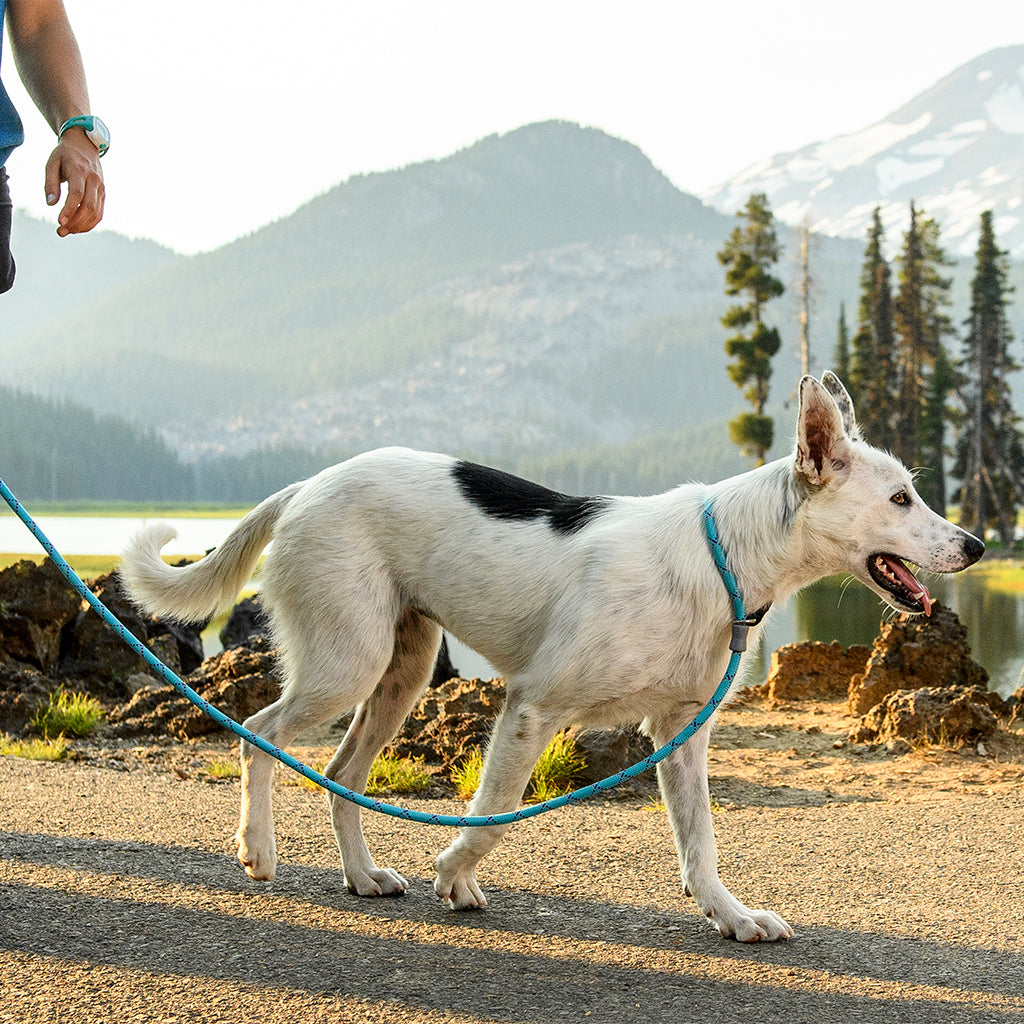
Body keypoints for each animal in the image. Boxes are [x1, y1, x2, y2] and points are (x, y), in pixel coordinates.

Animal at [117, 372, 983, 937]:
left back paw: (361, 876)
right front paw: (455, 871)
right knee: (258, 735)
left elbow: (700, 848)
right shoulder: (532, 706)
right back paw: (258, 851)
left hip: (402, 671)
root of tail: (305, 485)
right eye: (901, 499)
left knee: (340, 774)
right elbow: (494, 814)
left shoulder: (680, 737)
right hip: (345, 664)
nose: (976, 546)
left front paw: (731, 916)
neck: (725, 558)